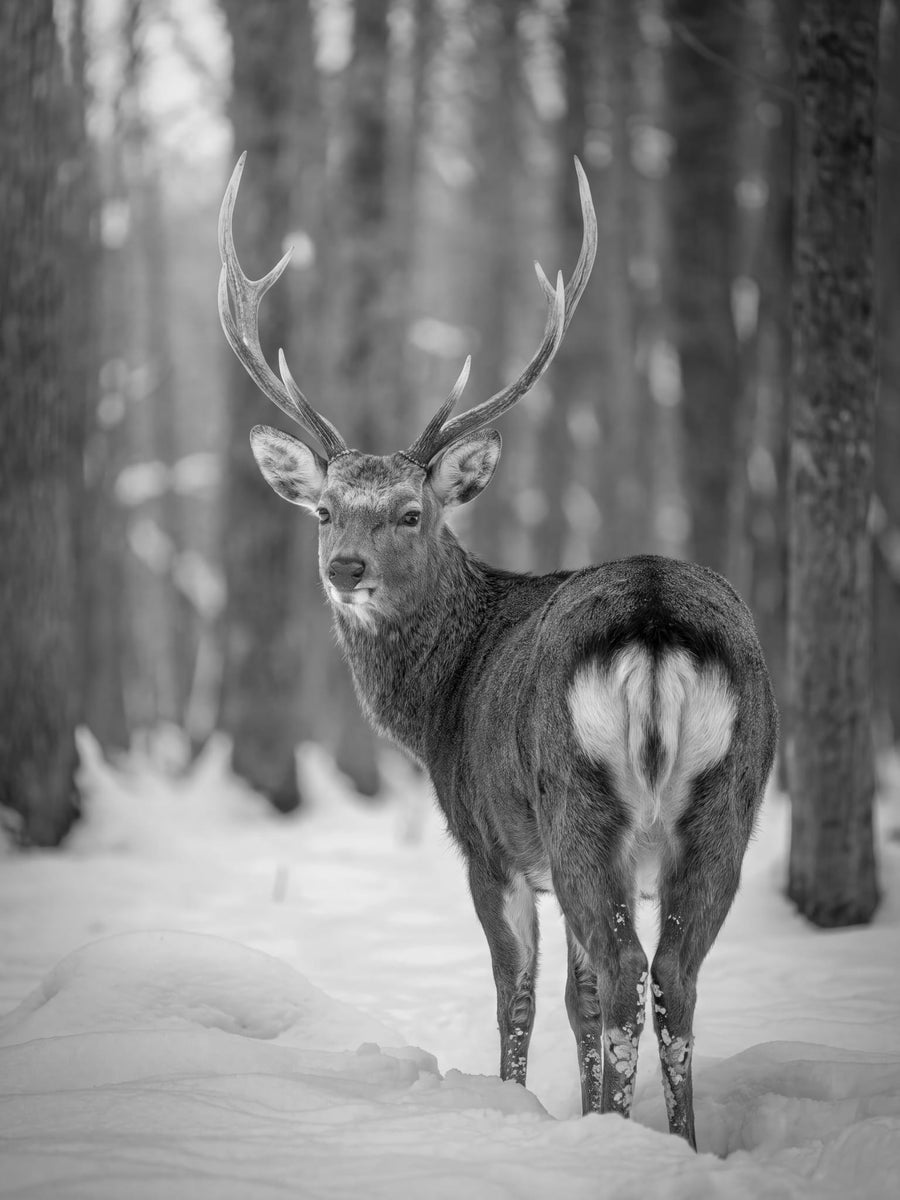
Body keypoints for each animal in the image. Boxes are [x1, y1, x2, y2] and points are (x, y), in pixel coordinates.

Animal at [217, 152, 778, 1149]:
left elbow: (520, 995)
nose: (345, 568)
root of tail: (656, 619)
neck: (439, 702)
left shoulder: (491, 846)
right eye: (323, 509)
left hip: (578, 800)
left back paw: (619, 1143)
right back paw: (680, 1144)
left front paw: (521, 1107)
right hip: (726, 802)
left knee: (629, 972)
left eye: (412, 512)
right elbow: (576, 999)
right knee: (672, 975)